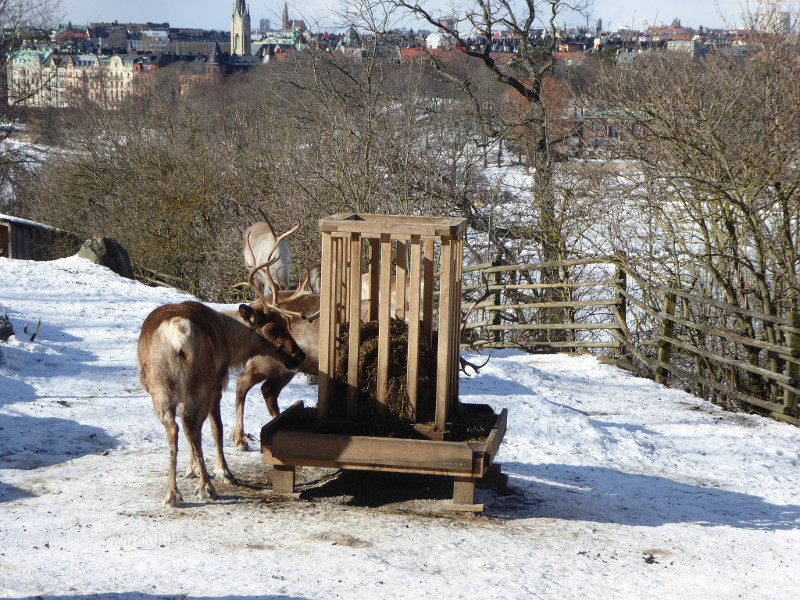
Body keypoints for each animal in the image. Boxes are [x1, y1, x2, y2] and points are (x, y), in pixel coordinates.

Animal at [137, 253, 308, 507]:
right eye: (271, 329)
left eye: (287, 325)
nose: (300, 356)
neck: (230, 341)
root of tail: (178, 331)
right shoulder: (218, 382)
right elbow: (216, 427)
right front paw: (221, 471)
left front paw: (192, 469)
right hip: (200, 383)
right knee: (194, 428)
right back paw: (207, 487)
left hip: (161, 388)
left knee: (175, 428)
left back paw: (173, 494)